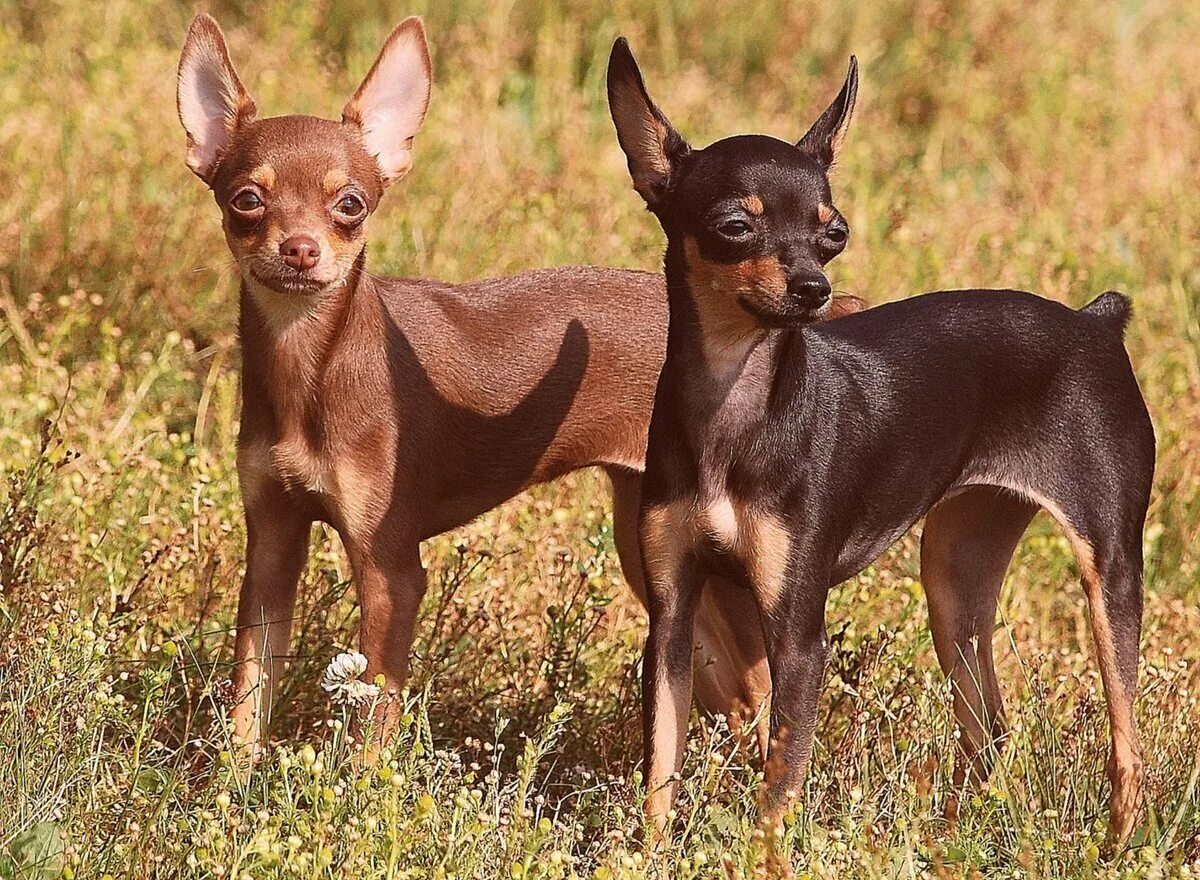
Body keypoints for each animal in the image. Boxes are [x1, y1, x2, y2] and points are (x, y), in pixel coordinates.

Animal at [609, 37, 1152, 849]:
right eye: (736, 225)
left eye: (834, 234)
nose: (813, 289)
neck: (735, 409)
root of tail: (1095, 324)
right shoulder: (672, 621)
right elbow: (660, 777)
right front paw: (647, 856)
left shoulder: (797, 636)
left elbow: (776, 794)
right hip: (955, 583)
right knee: (990, 731)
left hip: (1108, 577)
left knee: (1126, 748)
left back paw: (1116, 849)